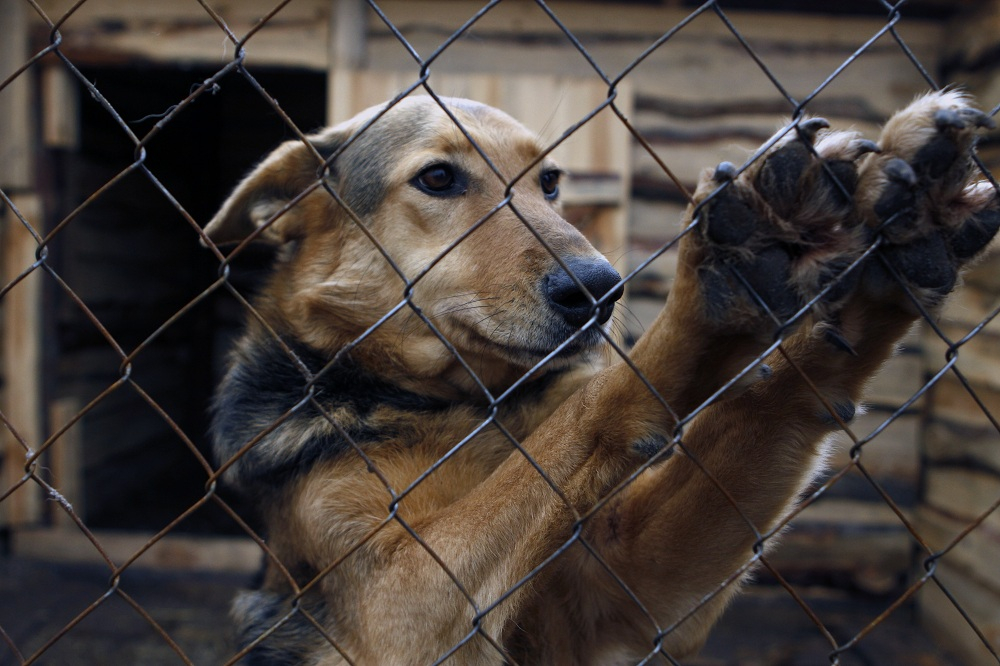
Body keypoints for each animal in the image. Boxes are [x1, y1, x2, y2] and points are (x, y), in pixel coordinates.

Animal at [205, 89, 1000, 664]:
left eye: (550, 182)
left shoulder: (618, 587)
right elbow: (589, 410)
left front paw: (895, 245)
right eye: (437, 178)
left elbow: (766, 403)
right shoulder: (395, 599)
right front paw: (704, 300)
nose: (601, 290)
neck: (461, 406)